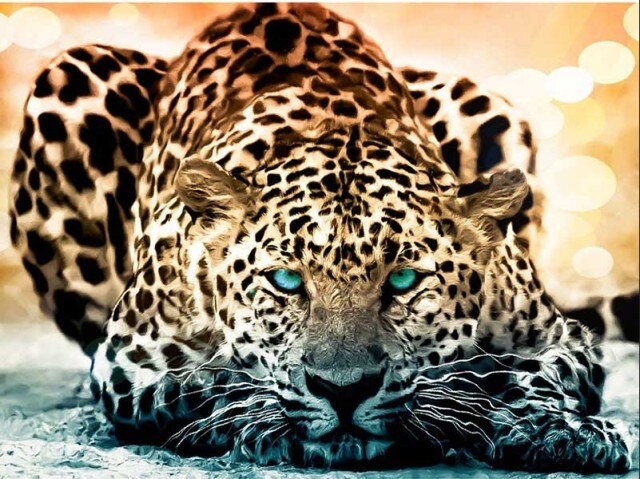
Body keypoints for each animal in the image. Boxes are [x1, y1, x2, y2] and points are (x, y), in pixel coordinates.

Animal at [9, 3, 638, 472]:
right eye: (286, 281)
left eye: (403, 280)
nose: (344, 389)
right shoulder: (126, 360)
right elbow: (207, 383)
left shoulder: (561, 336)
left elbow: (535, 372)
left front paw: (560, 428)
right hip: (72, 78)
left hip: (488, 107)